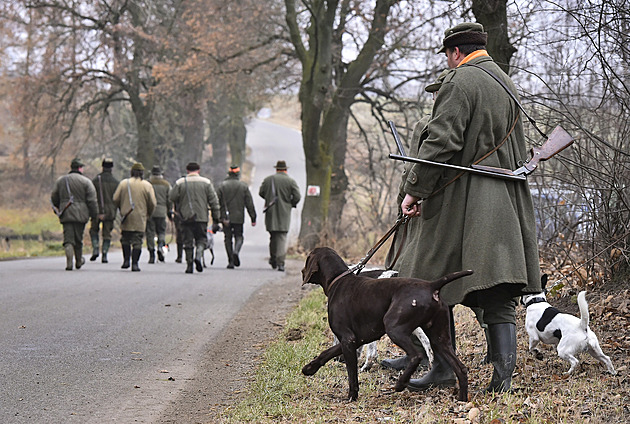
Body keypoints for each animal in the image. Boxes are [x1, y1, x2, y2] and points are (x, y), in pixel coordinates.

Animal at [302, 245, 474, 400]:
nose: (302, 272)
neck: (339, 279)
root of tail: (431, 285)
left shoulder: (347, 339)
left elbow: (352, 375)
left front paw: (352, 396)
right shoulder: (356, 339)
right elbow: (326, 353)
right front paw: (310, 368)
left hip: (394, 328)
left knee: (416, 355)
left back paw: (401, 383)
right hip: (440, 339)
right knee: (460, 368)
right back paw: (462, 398)